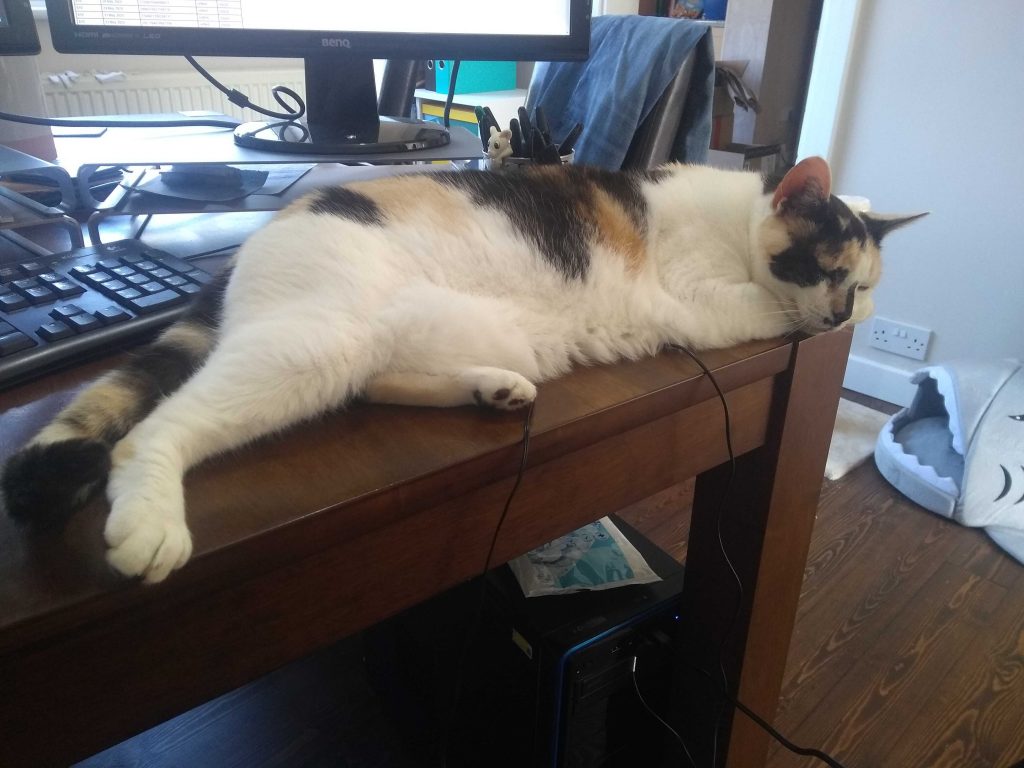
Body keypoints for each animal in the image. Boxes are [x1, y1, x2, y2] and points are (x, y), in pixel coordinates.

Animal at [0, 154, 925, 581]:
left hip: (416, 342)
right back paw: (151, 519)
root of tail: (263, 233)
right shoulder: (702, 300)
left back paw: (493, 389)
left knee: (377, 381)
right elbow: (764, 308)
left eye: (862, 283)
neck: (732, 220)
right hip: (312, 341)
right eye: (822, 270)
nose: (840, 317)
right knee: (153, 428)